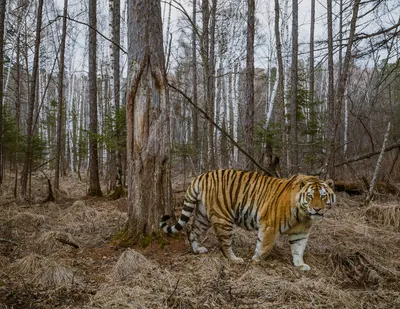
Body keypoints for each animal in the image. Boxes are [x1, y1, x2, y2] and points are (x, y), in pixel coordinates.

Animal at [159, 168, 334, 270]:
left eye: (323, 196)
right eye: (310, 196)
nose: (317, 209)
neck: (303, 216)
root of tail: (202, 176)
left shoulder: (301, 232)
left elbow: (298, 248)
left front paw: (300, 264)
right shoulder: (269, 226)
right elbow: (264, 247)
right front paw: (256, 260)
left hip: (203, 216)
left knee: (192, 230)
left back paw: (198, 250)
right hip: (223, 218)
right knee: (224, 243)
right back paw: (235, 259)